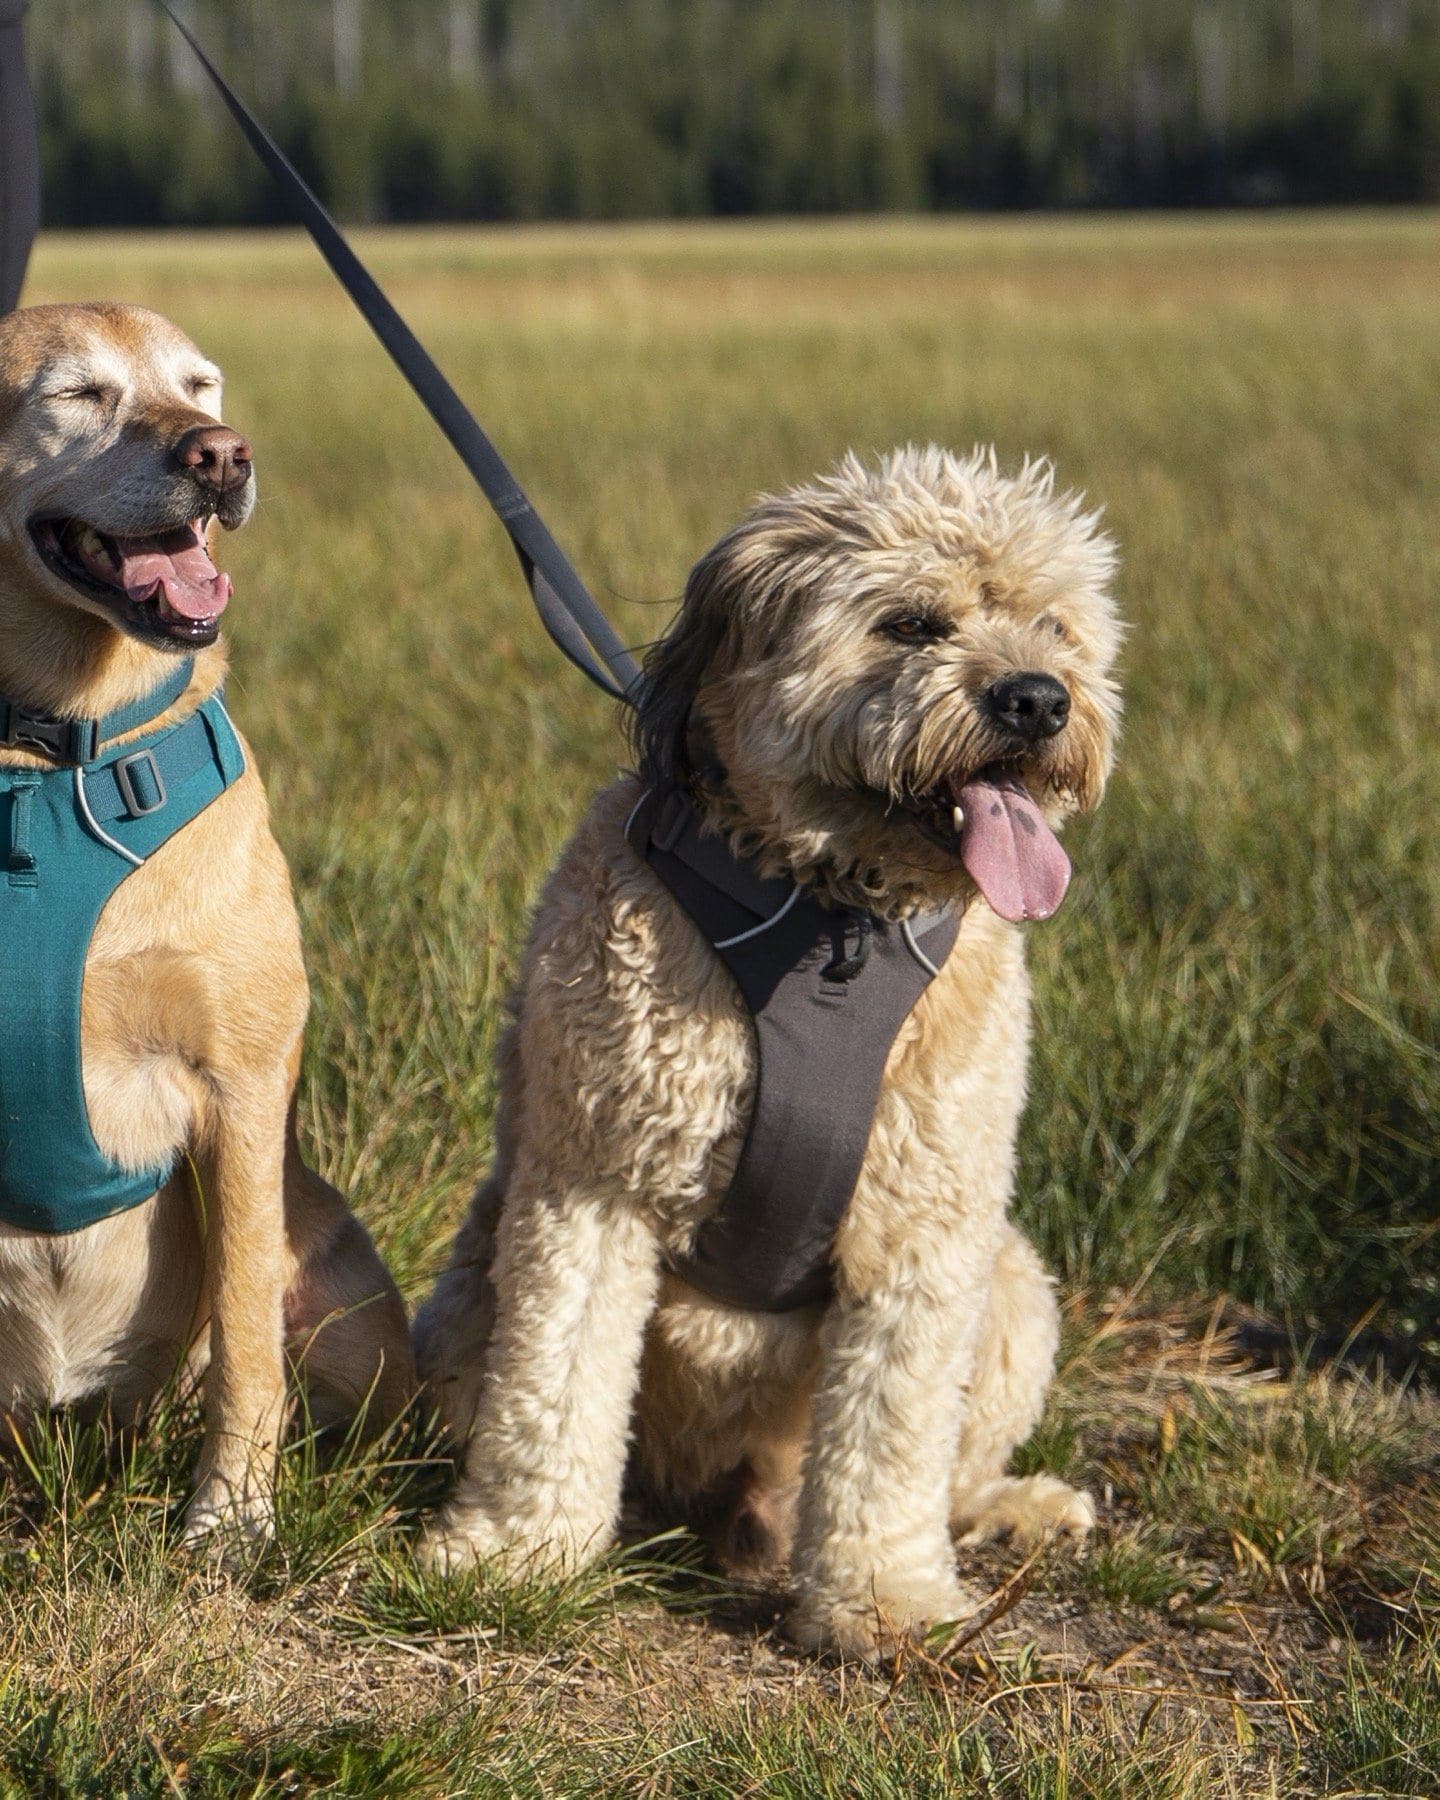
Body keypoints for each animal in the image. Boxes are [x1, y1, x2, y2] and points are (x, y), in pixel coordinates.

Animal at [0, 302, 414, 1540]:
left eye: (201, 386)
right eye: (77, 394)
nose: (223, 456)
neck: (49, 752)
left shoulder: (237, 1085)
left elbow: (241, 1333)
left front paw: (230, 1520)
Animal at [415, 446, 1123, 1656]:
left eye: (1053, 625)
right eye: (911, 623)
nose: (1037, 698)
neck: (830, 917)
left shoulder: (927, 1227)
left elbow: (892, 1437)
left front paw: (887, 1600)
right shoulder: (592, 1185)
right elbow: (554, 1386)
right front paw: (516, 1556)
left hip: (1014, 1287)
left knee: (946, 1465)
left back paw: (1008, 1507)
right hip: (466, 1293)